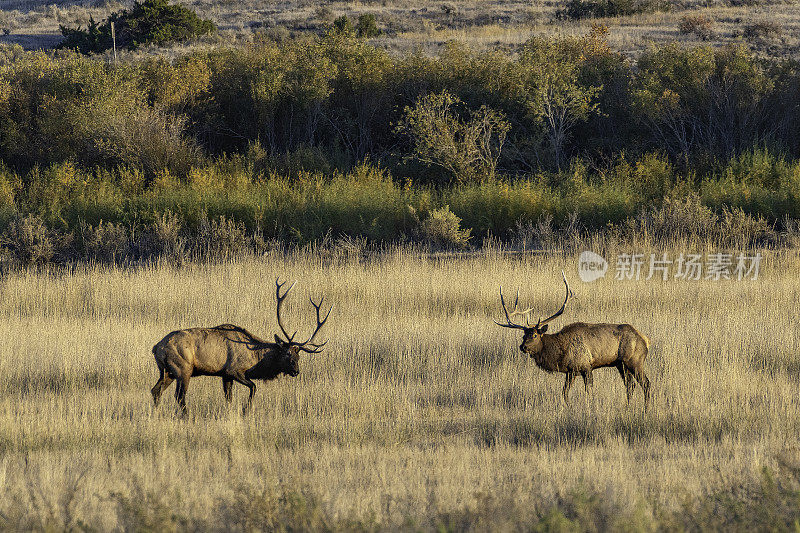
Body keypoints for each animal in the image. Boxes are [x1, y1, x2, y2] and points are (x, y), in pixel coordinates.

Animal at [152, 278, 330, 416]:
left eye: (298, 356)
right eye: (287, 354)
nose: (296, 371)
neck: (256, 358)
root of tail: (156, 348)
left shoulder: (225, 375)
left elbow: (229, 398)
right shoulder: (234, 370)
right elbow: (254, 387)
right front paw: (245, 410)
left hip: (167, 372)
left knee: (156, 391)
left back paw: (156, 414)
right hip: (183, 369)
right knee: (179, 396)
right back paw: (187, 417)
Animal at [496, 272, 652, 410]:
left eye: (534, 335)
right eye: (523, 336)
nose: (523, 347)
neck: (560, 352)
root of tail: (645, 340)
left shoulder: (586, 366)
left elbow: (588, 391)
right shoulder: (570, 371)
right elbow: (564, 393)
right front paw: (569, 407)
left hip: (635, 360)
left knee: (646, 383)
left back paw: (645, 409)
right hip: (621, 364)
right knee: (630, 386)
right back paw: (627, 407)